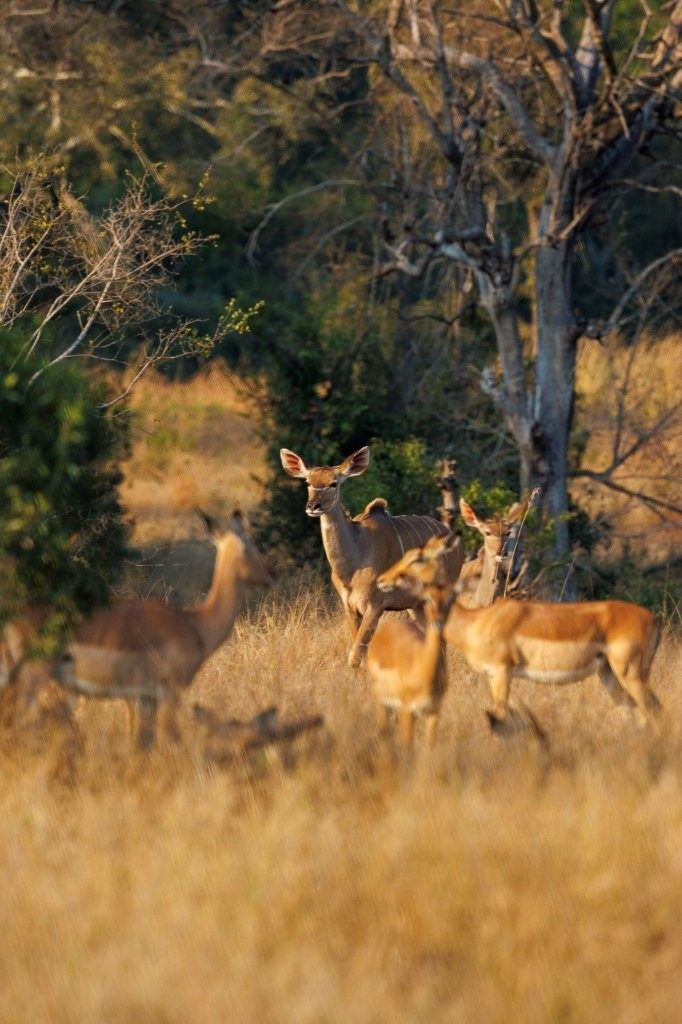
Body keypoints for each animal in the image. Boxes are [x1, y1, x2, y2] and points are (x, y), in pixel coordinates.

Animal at [4, 511, 273, 747]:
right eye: (255, 544)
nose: (270, 577)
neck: (195, 623)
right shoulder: (170, 693)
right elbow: (171, 740)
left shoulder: (144, 698)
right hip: (31, 679)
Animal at [280, 445, 463, 667]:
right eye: (308, 482)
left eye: (334, 483)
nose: (313, 506)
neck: (352, 565)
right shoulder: (350, 607)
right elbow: (360, 656)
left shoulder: (375, 605)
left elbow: (355, 656)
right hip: (417, 605)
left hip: (440, 597)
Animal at [369, 536, 455, 748]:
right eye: (428, 599)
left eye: (451, 597)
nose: (382, 579)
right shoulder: (408, 711)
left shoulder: (434, 713)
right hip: (382, 704)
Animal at [379, 533, 661, 732]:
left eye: (418, 558)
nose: (382, 579)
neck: (475, 621)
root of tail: (652, 620)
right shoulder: (494, 676)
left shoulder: (502, 673)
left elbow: (500, 717)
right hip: (608, 674)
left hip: (632, 674)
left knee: (656, 712)